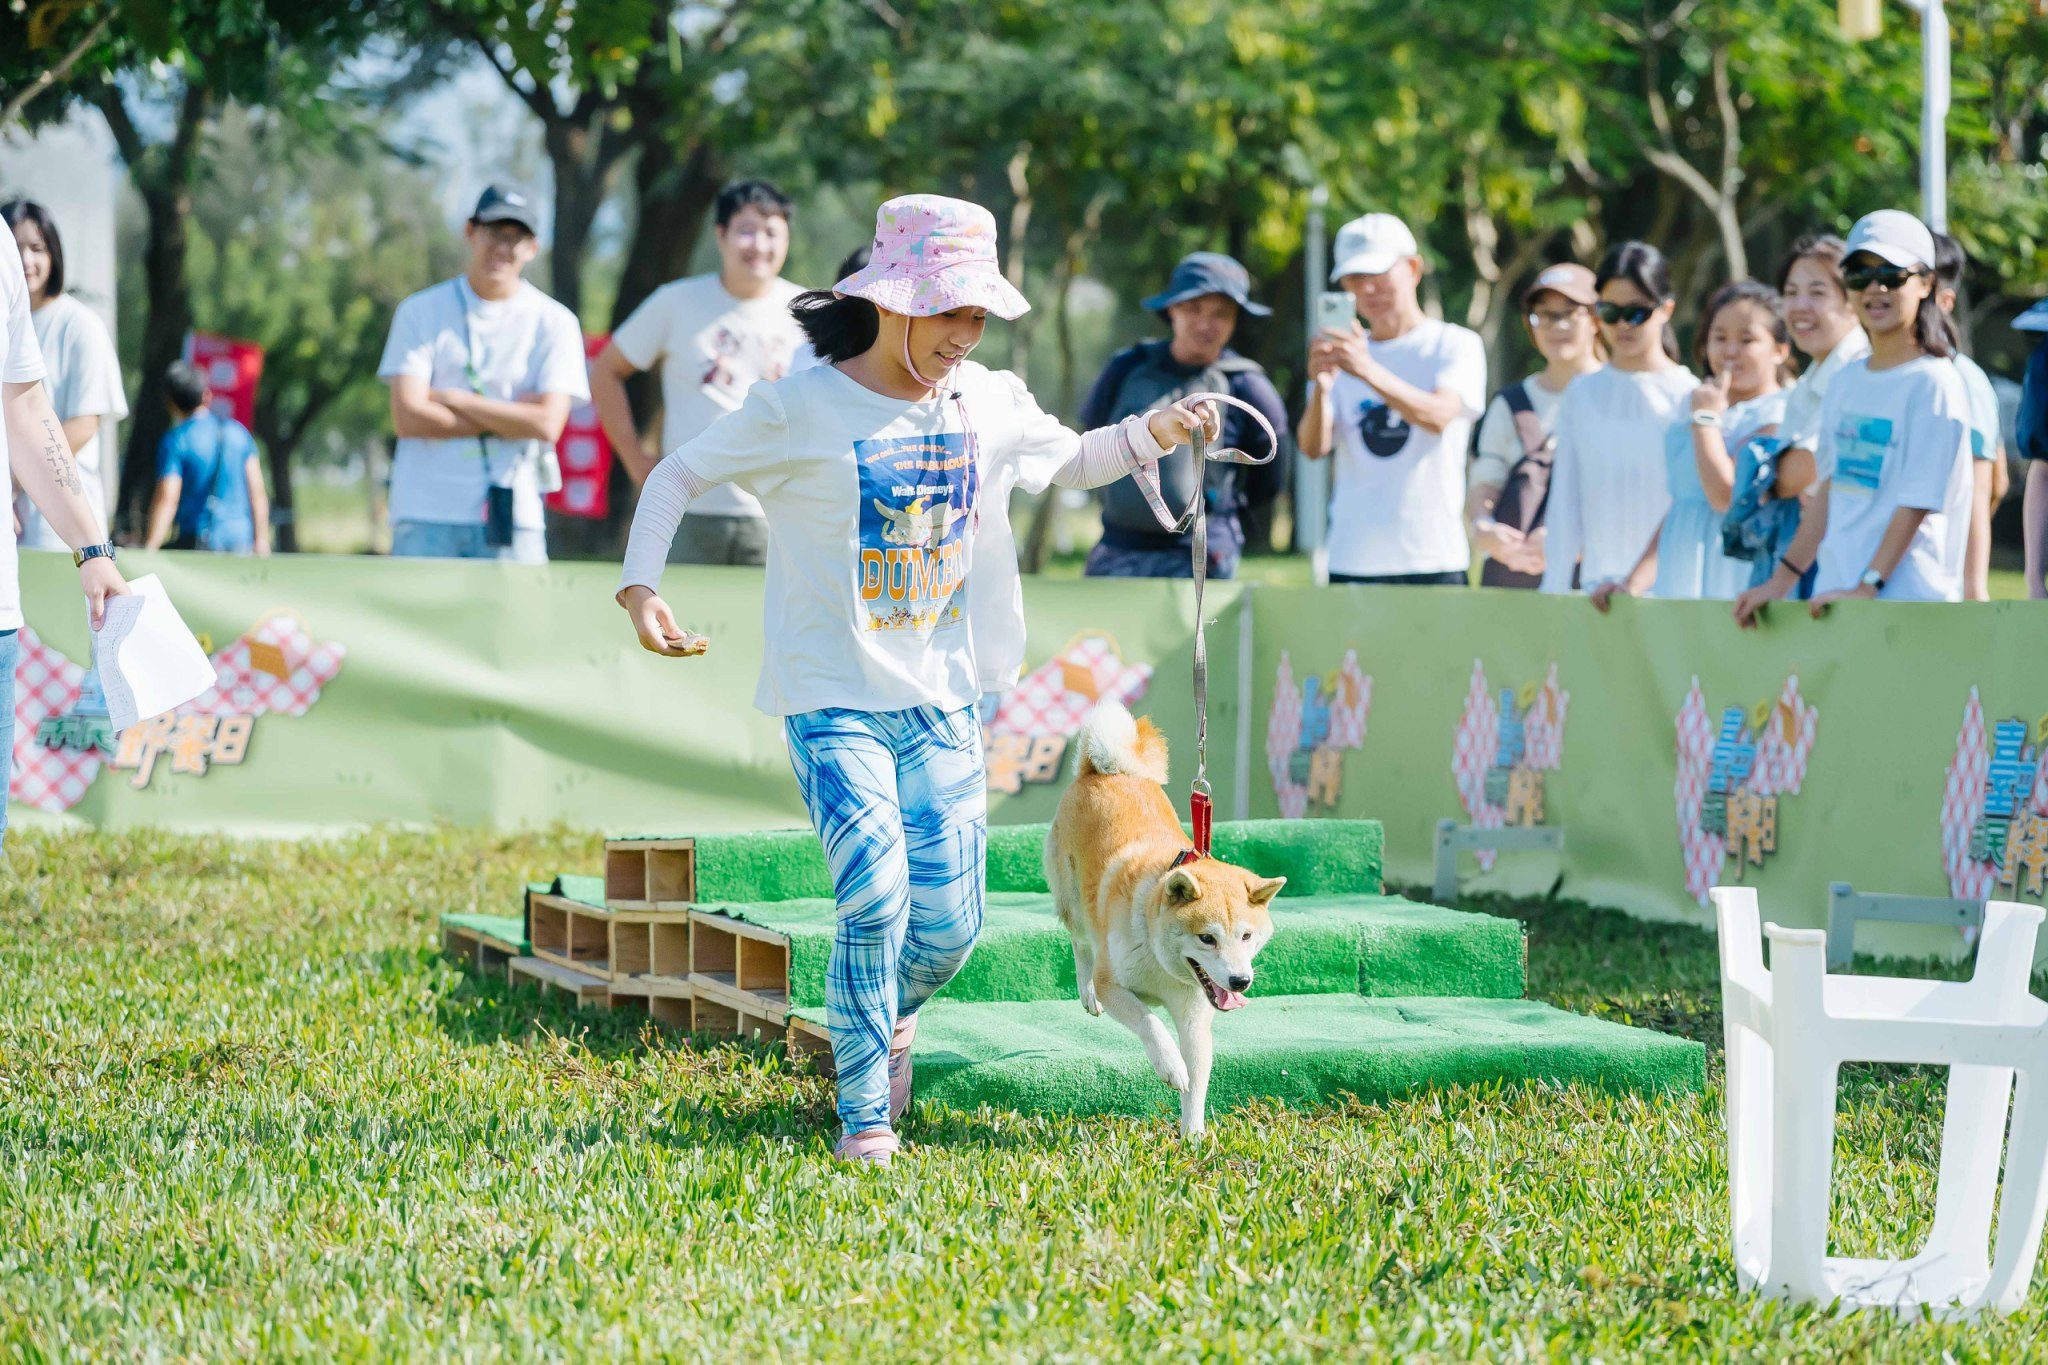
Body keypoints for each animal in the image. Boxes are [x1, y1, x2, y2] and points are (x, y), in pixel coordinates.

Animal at [1048, 699, 1286, 1137]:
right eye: (1206, 938)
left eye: (1247, 937)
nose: (1240, 981)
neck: (1160, 962)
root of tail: (1106, 769)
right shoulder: (1114, 984)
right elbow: (1149, 1022)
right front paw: (1170, 1065)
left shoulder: (1194, 1016)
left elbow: (1199, 1077)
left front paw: (1193, 1136)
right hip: (1074, 902)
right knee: (1081, 943)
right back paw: (1086, 991)